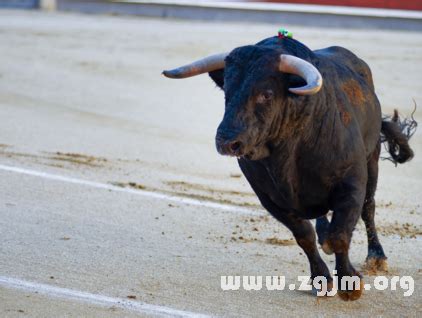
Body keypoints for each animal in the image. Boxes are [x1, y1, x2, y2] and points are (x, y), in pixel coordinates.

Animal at [162, 36, 416, 300]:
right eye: (227, 92)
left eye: (266, 94)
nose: (226, 141)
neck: (288, 148)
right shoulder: (269, 197)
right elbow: (304, 235)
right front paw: (322, 280)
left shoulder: (352, 181)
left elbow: (341, 234)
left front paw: (350, 284)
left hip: (372, 157)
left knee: (368, 207)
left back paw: (377, 257)